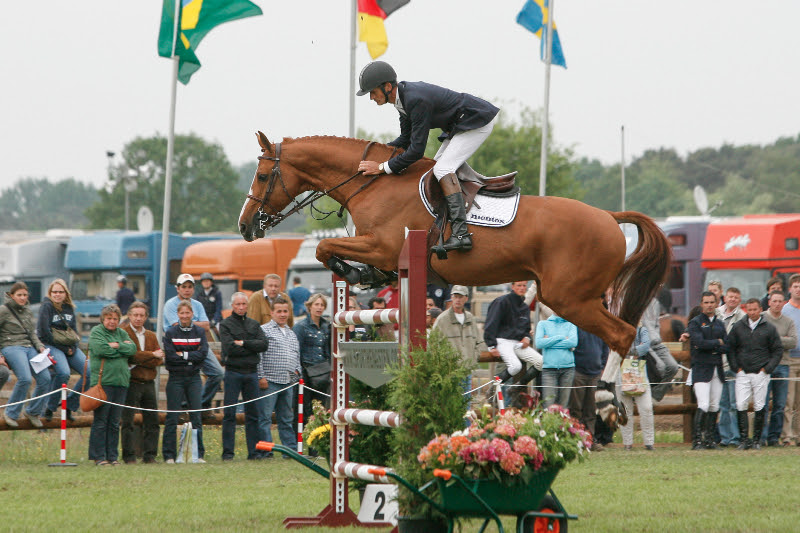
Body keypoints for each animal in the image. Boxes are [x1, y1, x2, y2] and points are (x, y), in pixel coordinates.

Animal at [241, 132, 672, 354]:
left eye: (262, 176)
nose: (246, 228)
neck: (372, 182)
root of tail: (609, 217)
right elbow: (327, 250)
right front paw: (366, 276)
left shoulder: (383, 247)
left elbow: (324, 250)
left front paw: (358, 273)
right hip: (582, 295)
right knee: (621, 333)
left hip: (568, 297)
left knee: (621, 335)